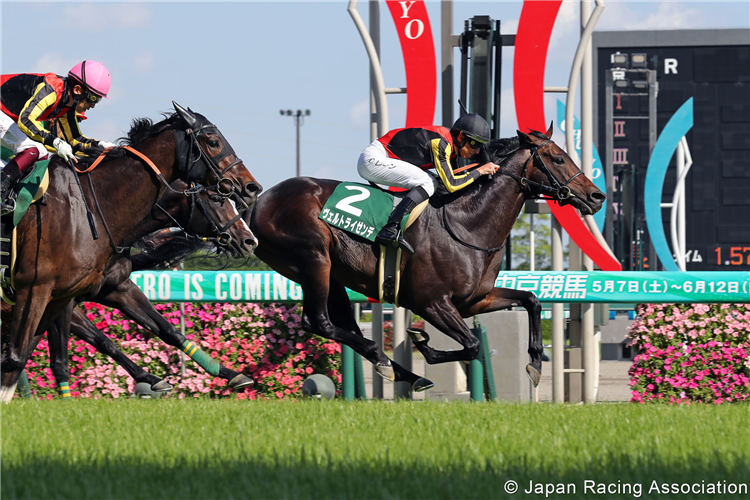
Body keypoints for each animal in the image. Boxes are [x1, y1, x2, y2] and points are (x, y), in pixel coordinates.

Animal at [0, 180, 260, 402]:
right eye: (216, 199)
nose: (249, 240)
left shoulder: (116, 289)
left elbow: (164, 331)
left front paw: (230, 373)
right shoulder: (57, 297)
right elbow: (56, 356)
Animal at [250, 126, 608, 390]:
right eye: (558, 158)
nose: (597, 196)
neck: (467, 224)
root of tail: (259, 203)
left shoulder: (475, 300)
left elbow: (531, 300)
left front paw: (534, 362)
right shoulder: (431, 302)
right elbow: (472, 345)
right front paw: (422, 343)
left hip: (331, 274)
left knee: (343, 326)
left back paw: (397, 369)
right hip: (314, 261)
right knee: (319, 322)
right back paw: (386, 360)